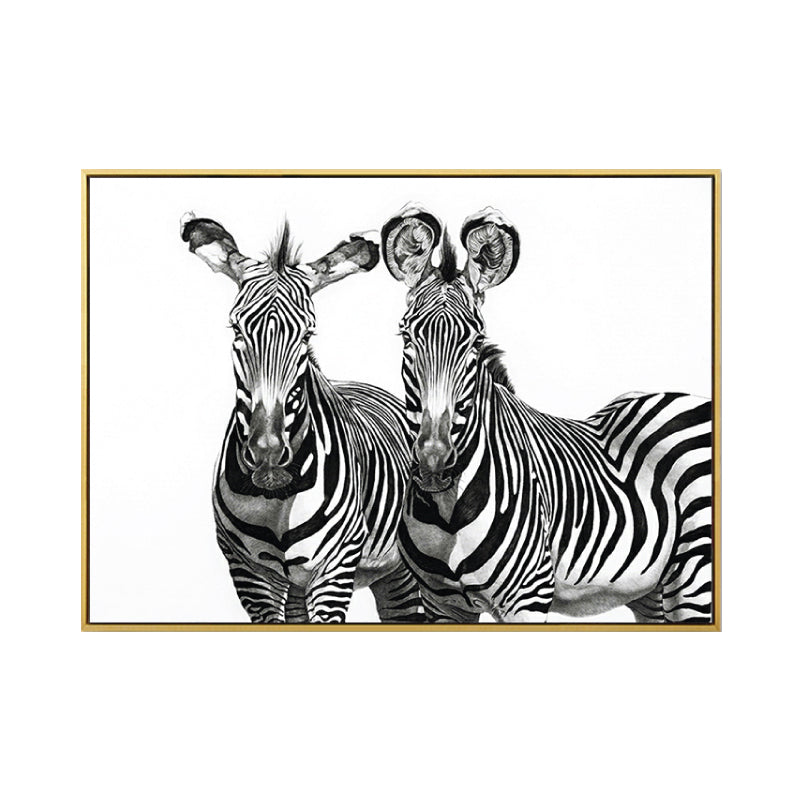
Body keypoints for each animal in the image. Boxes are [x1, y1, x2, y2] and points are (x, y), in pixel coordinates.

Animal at [180, 212, 423, 623]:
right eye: (235, 329)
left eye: (308, 335)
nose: (267, 453)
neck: (277, 499)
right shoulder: (249, 572)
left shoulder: (334, 569)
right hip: (298, 585)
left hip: (401, 572)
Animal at [380, 202, 713, 624]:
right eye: (406, 337)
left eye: (476, 341)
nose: (434, 462)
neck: (447, 511)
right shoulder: (442, 602)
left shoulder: (527, 596)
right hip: (651, 590)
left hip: (694, 575)